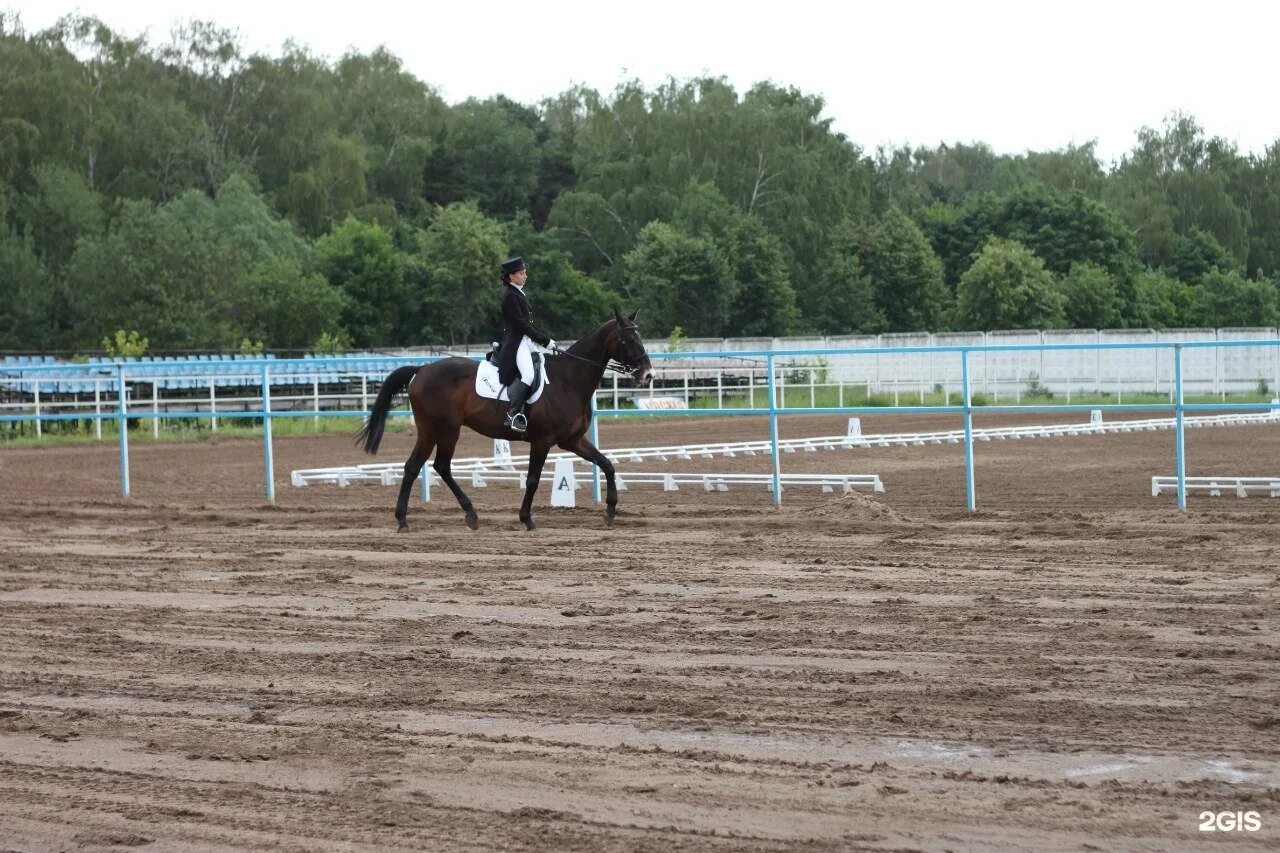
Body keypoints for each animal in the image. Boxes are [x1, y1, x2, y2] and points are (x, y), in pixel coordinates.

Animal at [355, 308, 655, 527]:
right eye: (629, 340)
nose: (649, 374)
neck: (568, 380)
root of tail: (422, 370)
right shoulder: (542, 441)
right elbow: (533, 479)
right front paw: (527, 519)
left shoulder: (573, 441)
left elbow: (607, 464)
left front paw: (610, 511)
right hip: (445, 430)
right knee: (439, 466)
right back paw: (461, 515)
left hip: (430, 431)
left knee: (415, 467)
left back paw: (410, 519)